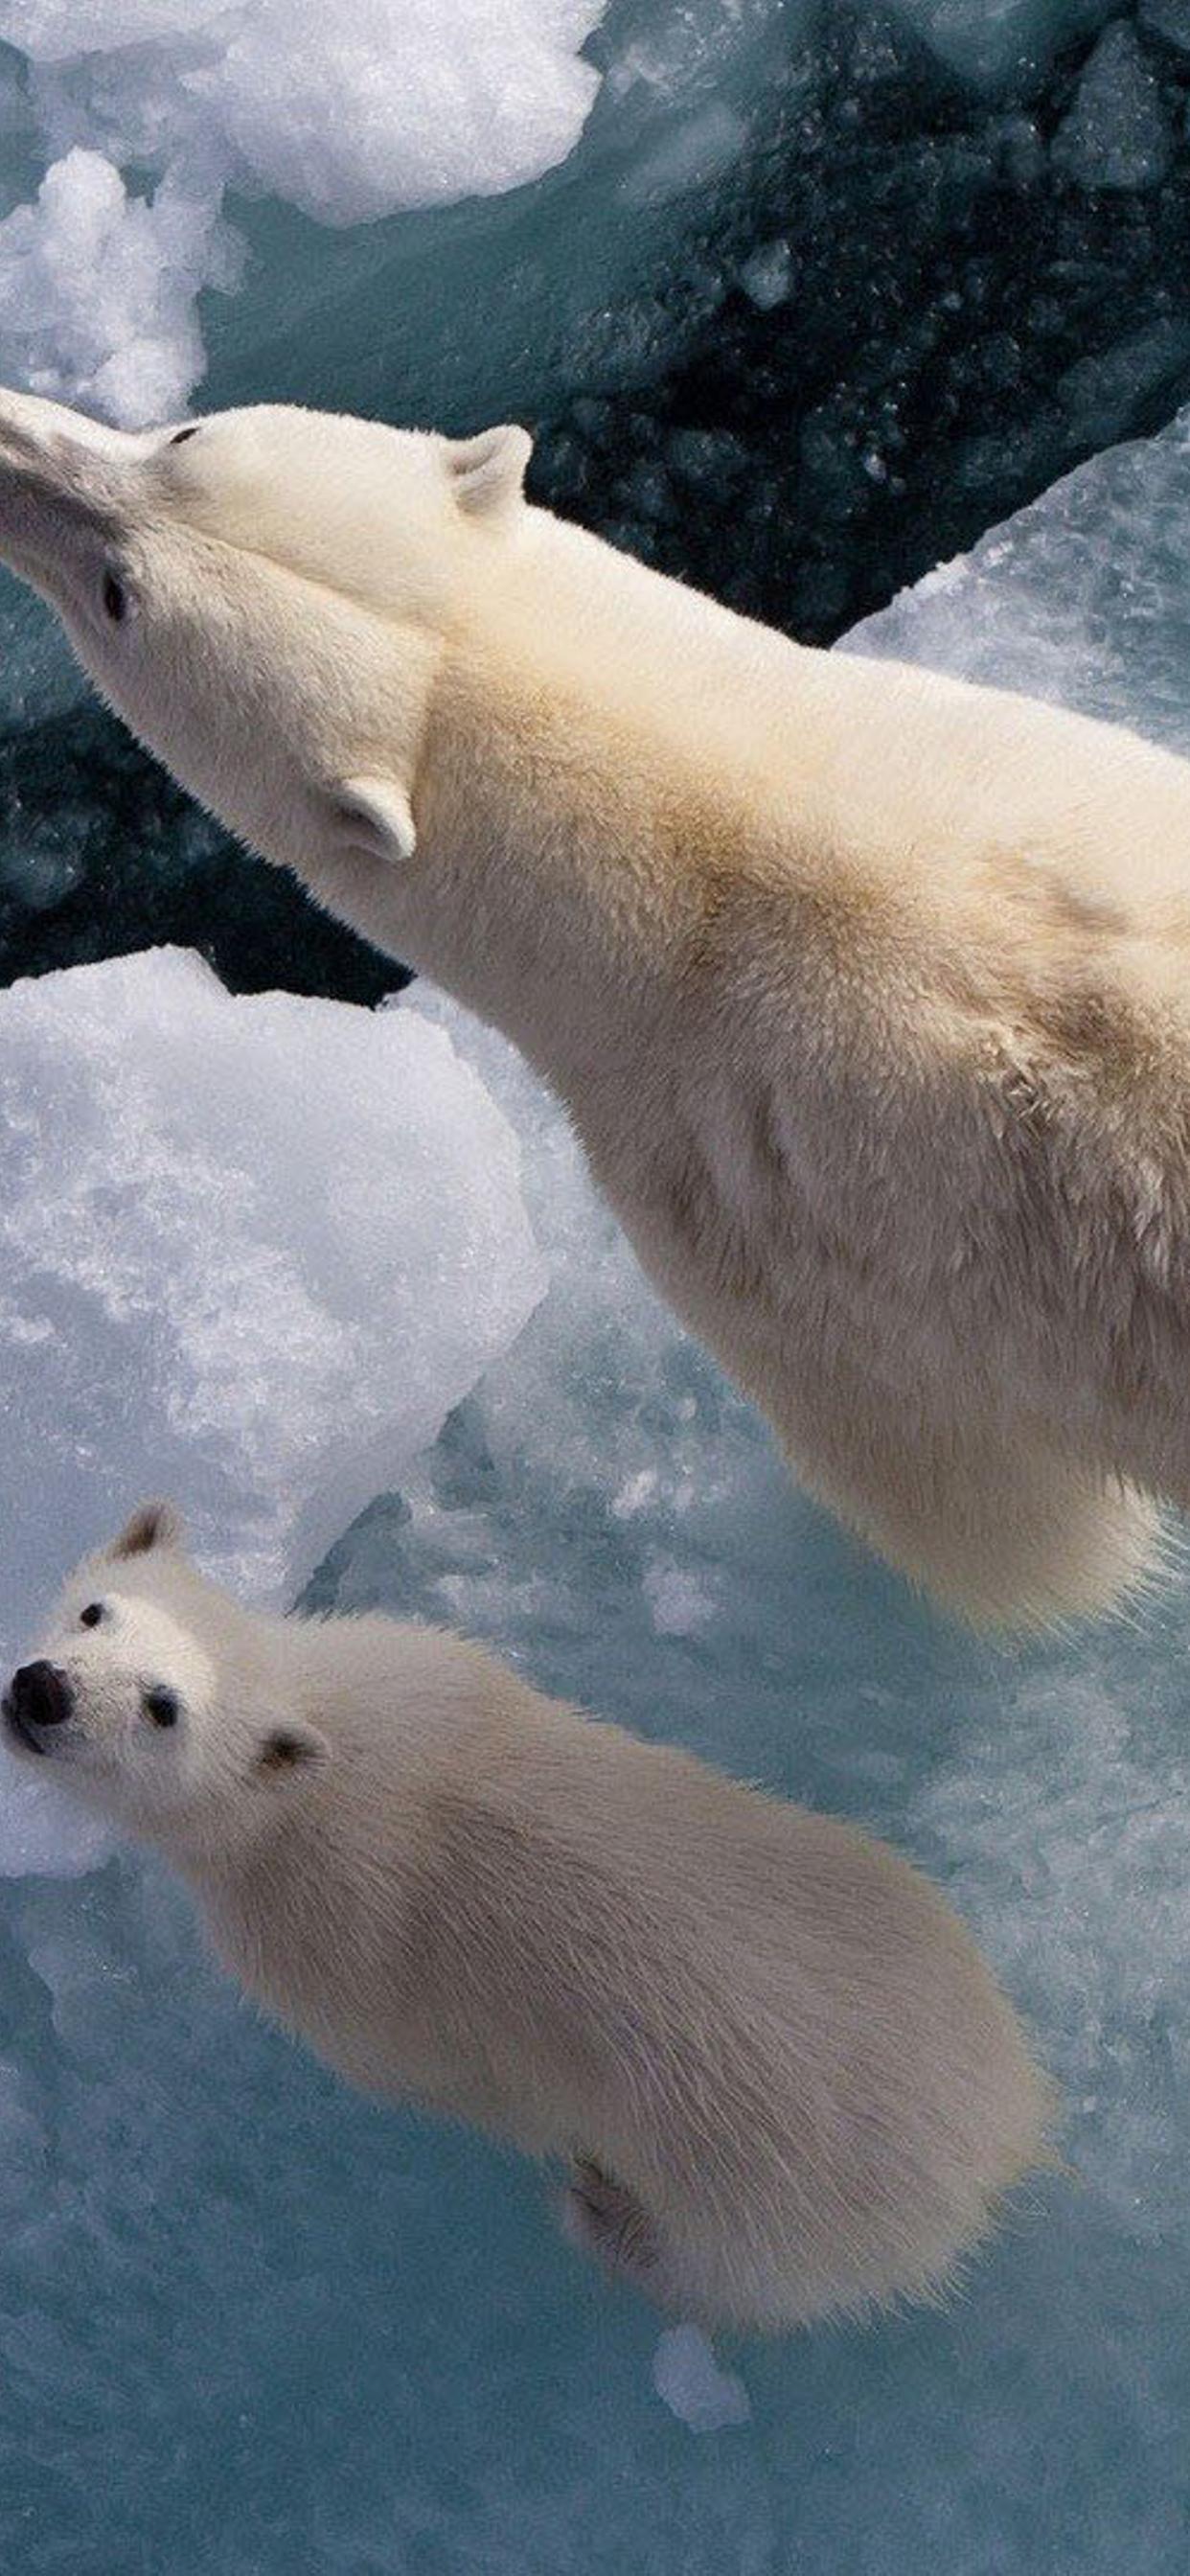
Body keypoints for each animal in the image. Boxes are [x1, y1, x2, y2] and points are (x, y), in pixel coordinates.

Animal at [3, 1503, 1051, 2336]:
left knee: (725, 2277)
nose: (43, 1690)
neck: (331, 1756)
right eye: (97, 1610)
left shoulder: (329, 1955)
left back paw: (600, 2212)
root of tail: (998, 2136)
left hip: (767, 2203)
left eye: (163, 1707)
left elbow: (419, 2072)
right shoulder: (429, 1661)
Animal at [5, 388, 1190, 1624]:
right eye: (187, 438)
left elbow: (997, 1524)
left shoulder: (758, 1235)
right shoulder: (1037, 772)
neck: (724, 846)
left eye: (119, 594)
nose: (8, 448)